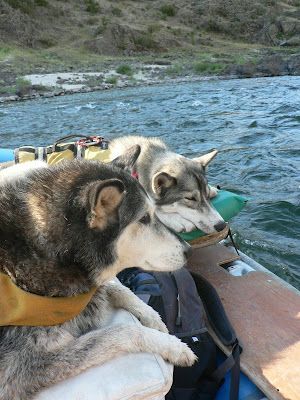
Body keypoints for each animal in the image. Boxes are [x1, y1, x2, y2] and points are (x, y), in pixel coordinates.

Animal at [0, 147, 196, 400]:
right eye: (143, 218)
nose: (189, 251)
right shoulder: (19, 369)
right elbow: (123, 331)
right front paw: (174, 346)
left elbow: (118, 289)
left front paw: (156, 321)